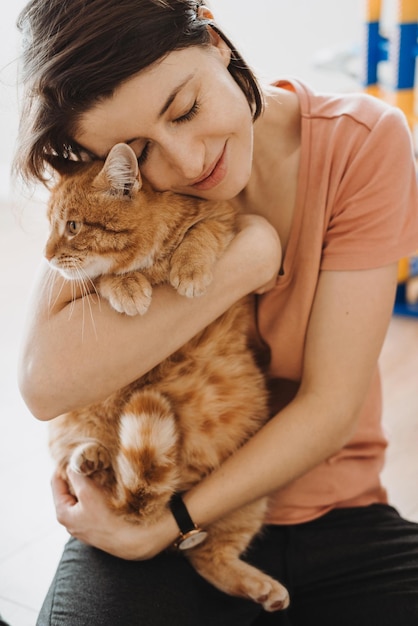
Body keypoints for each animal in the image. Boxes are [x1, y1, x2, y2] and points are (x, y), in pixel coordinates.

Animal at [44, 143, 290, 608]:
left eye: (72, 226)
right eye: (49, 226)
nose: (46, 256)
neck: (151, 258)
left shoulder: (221, 218)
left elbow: (199, 235)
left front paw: (189, 270)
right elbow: (106, 277)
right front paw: (127, 286)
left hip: (248, 501)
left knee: (205, 556)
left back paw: (262, 588)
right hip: (72, 424)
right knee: (81, 463)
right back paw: (91, 459)